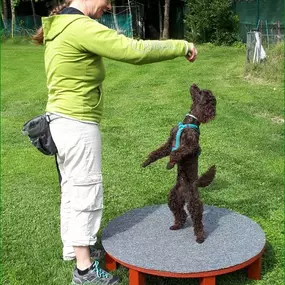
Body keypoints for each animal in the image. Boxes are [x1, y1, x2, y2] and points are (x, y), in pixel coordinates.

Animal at [141, 83, 216, 243]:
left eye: (202, 92)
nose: (194, 84)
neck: (187, 124)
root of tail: (185, 193)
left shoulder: (190, 146)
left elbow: (176, 153)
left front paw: (170, 164)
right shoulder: (169, 142)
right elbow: (157, 152)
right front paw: (146, 162)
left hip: (194, 202)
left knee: (197, 218)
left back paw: (200, 237)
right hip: (173, 198)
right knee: (181, 213)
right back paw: (176, 225)